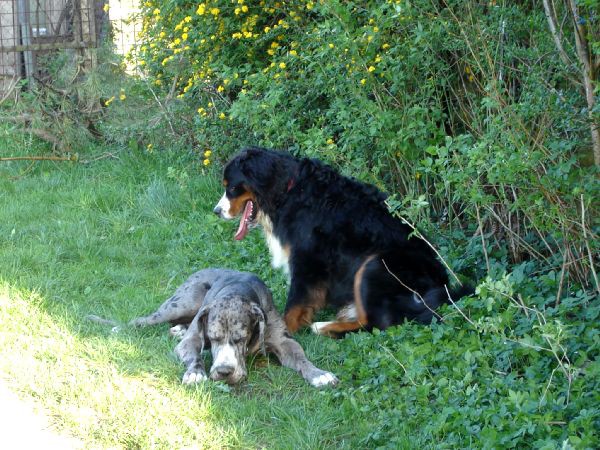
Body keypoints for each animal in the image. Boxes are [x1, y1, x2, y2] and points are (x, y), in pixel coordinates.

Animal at [213, 148, 472, 338]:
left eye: (232, 187)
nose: (217, 211)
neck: (288, 191)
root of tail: (441, 283)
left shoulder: (307, 259)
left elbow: (294, 302)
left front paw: (284, 331)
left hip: (374, 265)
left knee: (376, 324)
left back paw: (324, 327)